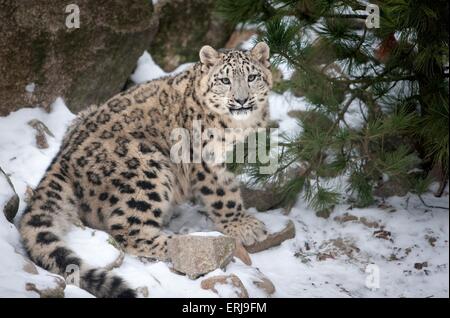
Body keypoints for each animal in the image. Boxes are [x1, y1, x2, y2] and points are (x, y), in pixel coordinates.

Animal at [19, 41, 272, 296]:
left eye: (252, 77)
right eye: (224, 80)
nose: (241, 100)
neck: (242, 126)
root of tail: (63, 156)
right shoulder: (208, 157)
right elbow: (223, 194)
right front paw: (244, 226)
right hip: (146, 170)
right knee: (130, 232)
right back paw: (184, 245)